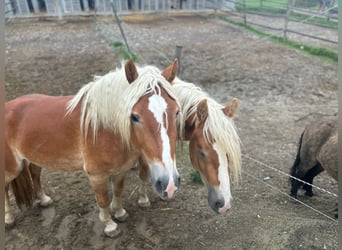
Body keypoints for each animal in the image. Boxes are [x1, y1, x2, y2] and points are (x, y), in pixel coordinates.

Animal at [5, 59, 182, 237]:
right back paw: (8, 219)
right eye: (135, 116)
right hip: (11, 168)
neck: (106, 128)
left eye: (176, 112)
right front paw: (110, 225)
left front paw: (119, 212)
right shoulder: (96, 175)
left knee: (34, 173)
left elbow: (118, 190)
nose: (169, 184)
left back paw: (43, 199)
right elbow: (103, 199)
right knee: (5, 188)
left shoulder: (121, 169)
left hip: (34, 157)